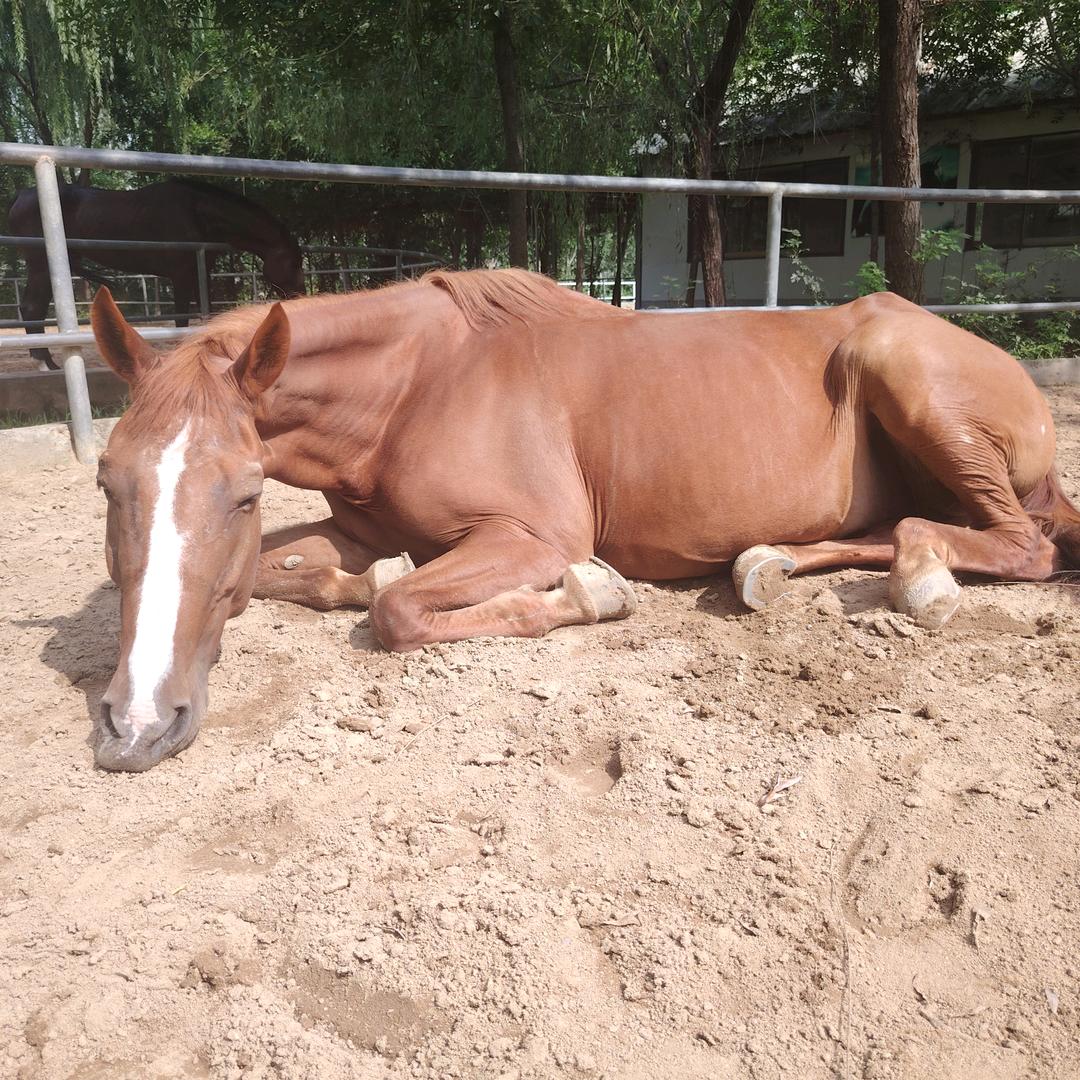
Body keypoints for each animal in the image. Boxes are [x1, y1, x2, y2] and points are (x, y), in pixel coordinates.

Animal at [8, 179, 304, 369]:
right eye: (294, 262)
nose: (301, 296)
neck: (197, 213)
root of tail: (20, 196)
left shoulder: (200, 273)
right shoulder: (181, 275)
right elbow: (183, 320)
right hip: (40, 265)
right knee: (32, 307)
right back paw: (45, 363)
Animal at [86, 268, 1080, 772]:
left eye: (246, 492)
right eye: (106, 481)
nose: (136, 727)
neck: (417, 385)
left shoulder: (535, 538)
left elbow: (398, 612)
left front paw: (593, 595)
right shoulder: (364, 528)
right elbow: (295, 578)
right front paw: (359, 577)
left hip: (906, 378)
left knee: (1019, 544)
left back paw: (922, 580)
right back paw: (764, 565)